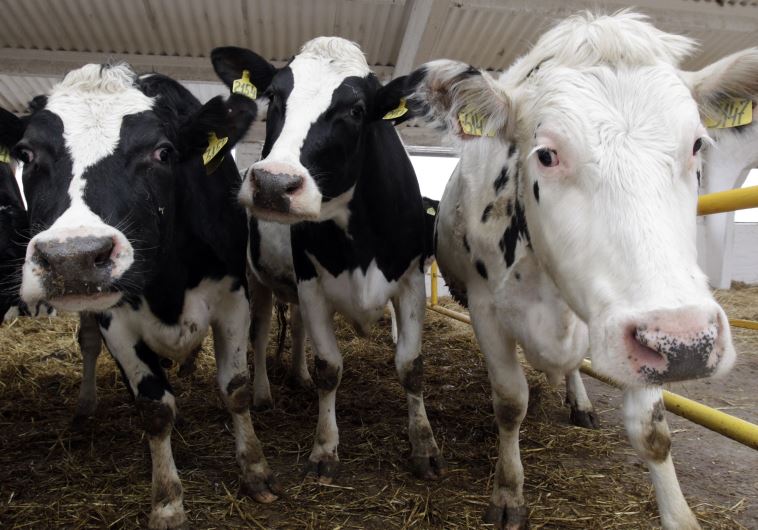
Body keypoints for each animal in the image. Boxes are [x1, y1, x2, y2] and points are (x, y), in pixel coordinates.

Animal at [0, 63, 275, 529]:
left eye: (163, 152)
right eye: (26, 154)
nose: (73, 257)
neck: (168, 283)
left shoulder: (232, 299)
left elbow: (234, 388)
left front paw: (255, 469)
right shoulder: (116, 318)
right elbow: (154, 407)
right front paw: (167, 501)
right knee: (88, 345)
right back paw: (86, 405)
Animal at [210, 37, 446, 483]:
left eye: (356, 110)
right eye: (274, 96)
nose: (273, 184)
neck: (360, 239)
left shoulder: (409, 281)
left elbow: (411, 366)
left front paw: (424, 444)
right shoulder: (311, 281)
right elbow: (330, 368)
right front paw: (324, 448)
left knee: (298, 327)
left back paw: (297, 376)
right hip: (256, 278)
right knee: (261, 331)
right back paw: (264, 392)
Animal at [388, 11, 747, 530]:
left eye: (697, 144)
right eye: (545, 154)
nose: (687, 343)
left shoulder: (630, 329)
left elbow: (653, 430)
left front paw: (679, 516)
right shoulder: (486, 310)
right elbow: (510, 402)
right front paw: (509, 493)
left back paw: (579, 401)